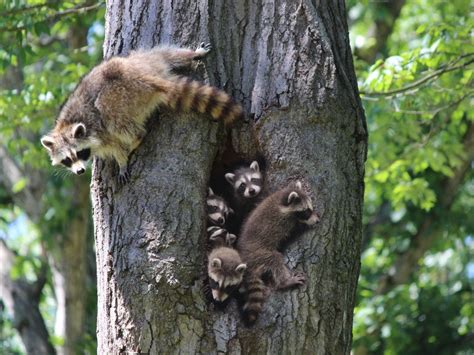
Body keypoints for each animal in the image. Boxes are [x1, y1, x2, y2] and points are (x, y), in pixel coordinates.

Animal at [40, 43, 244, 184]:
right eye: (67, 159)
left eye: (79, 153)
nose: (80, 171)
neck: (66, 125)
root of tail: (147, 78)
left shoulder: (100, 132)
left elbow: (115, 145)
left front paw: (121, 161)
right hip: (144, 60)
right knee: (165, 53)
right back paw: (191, 54)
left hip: (121, 95)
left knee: (115, 119)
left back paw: (135, 140)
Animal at [239, 182, 320, 324]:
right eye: (306, 212)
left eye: (310, 208)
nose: (317, 221)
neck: (281, 202)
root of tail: (246, 260)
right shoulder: (282, 222)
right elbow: (291, 232)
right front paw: (304, 225)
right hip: (260, 254)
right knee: (275, 260)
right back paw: (286, 281)